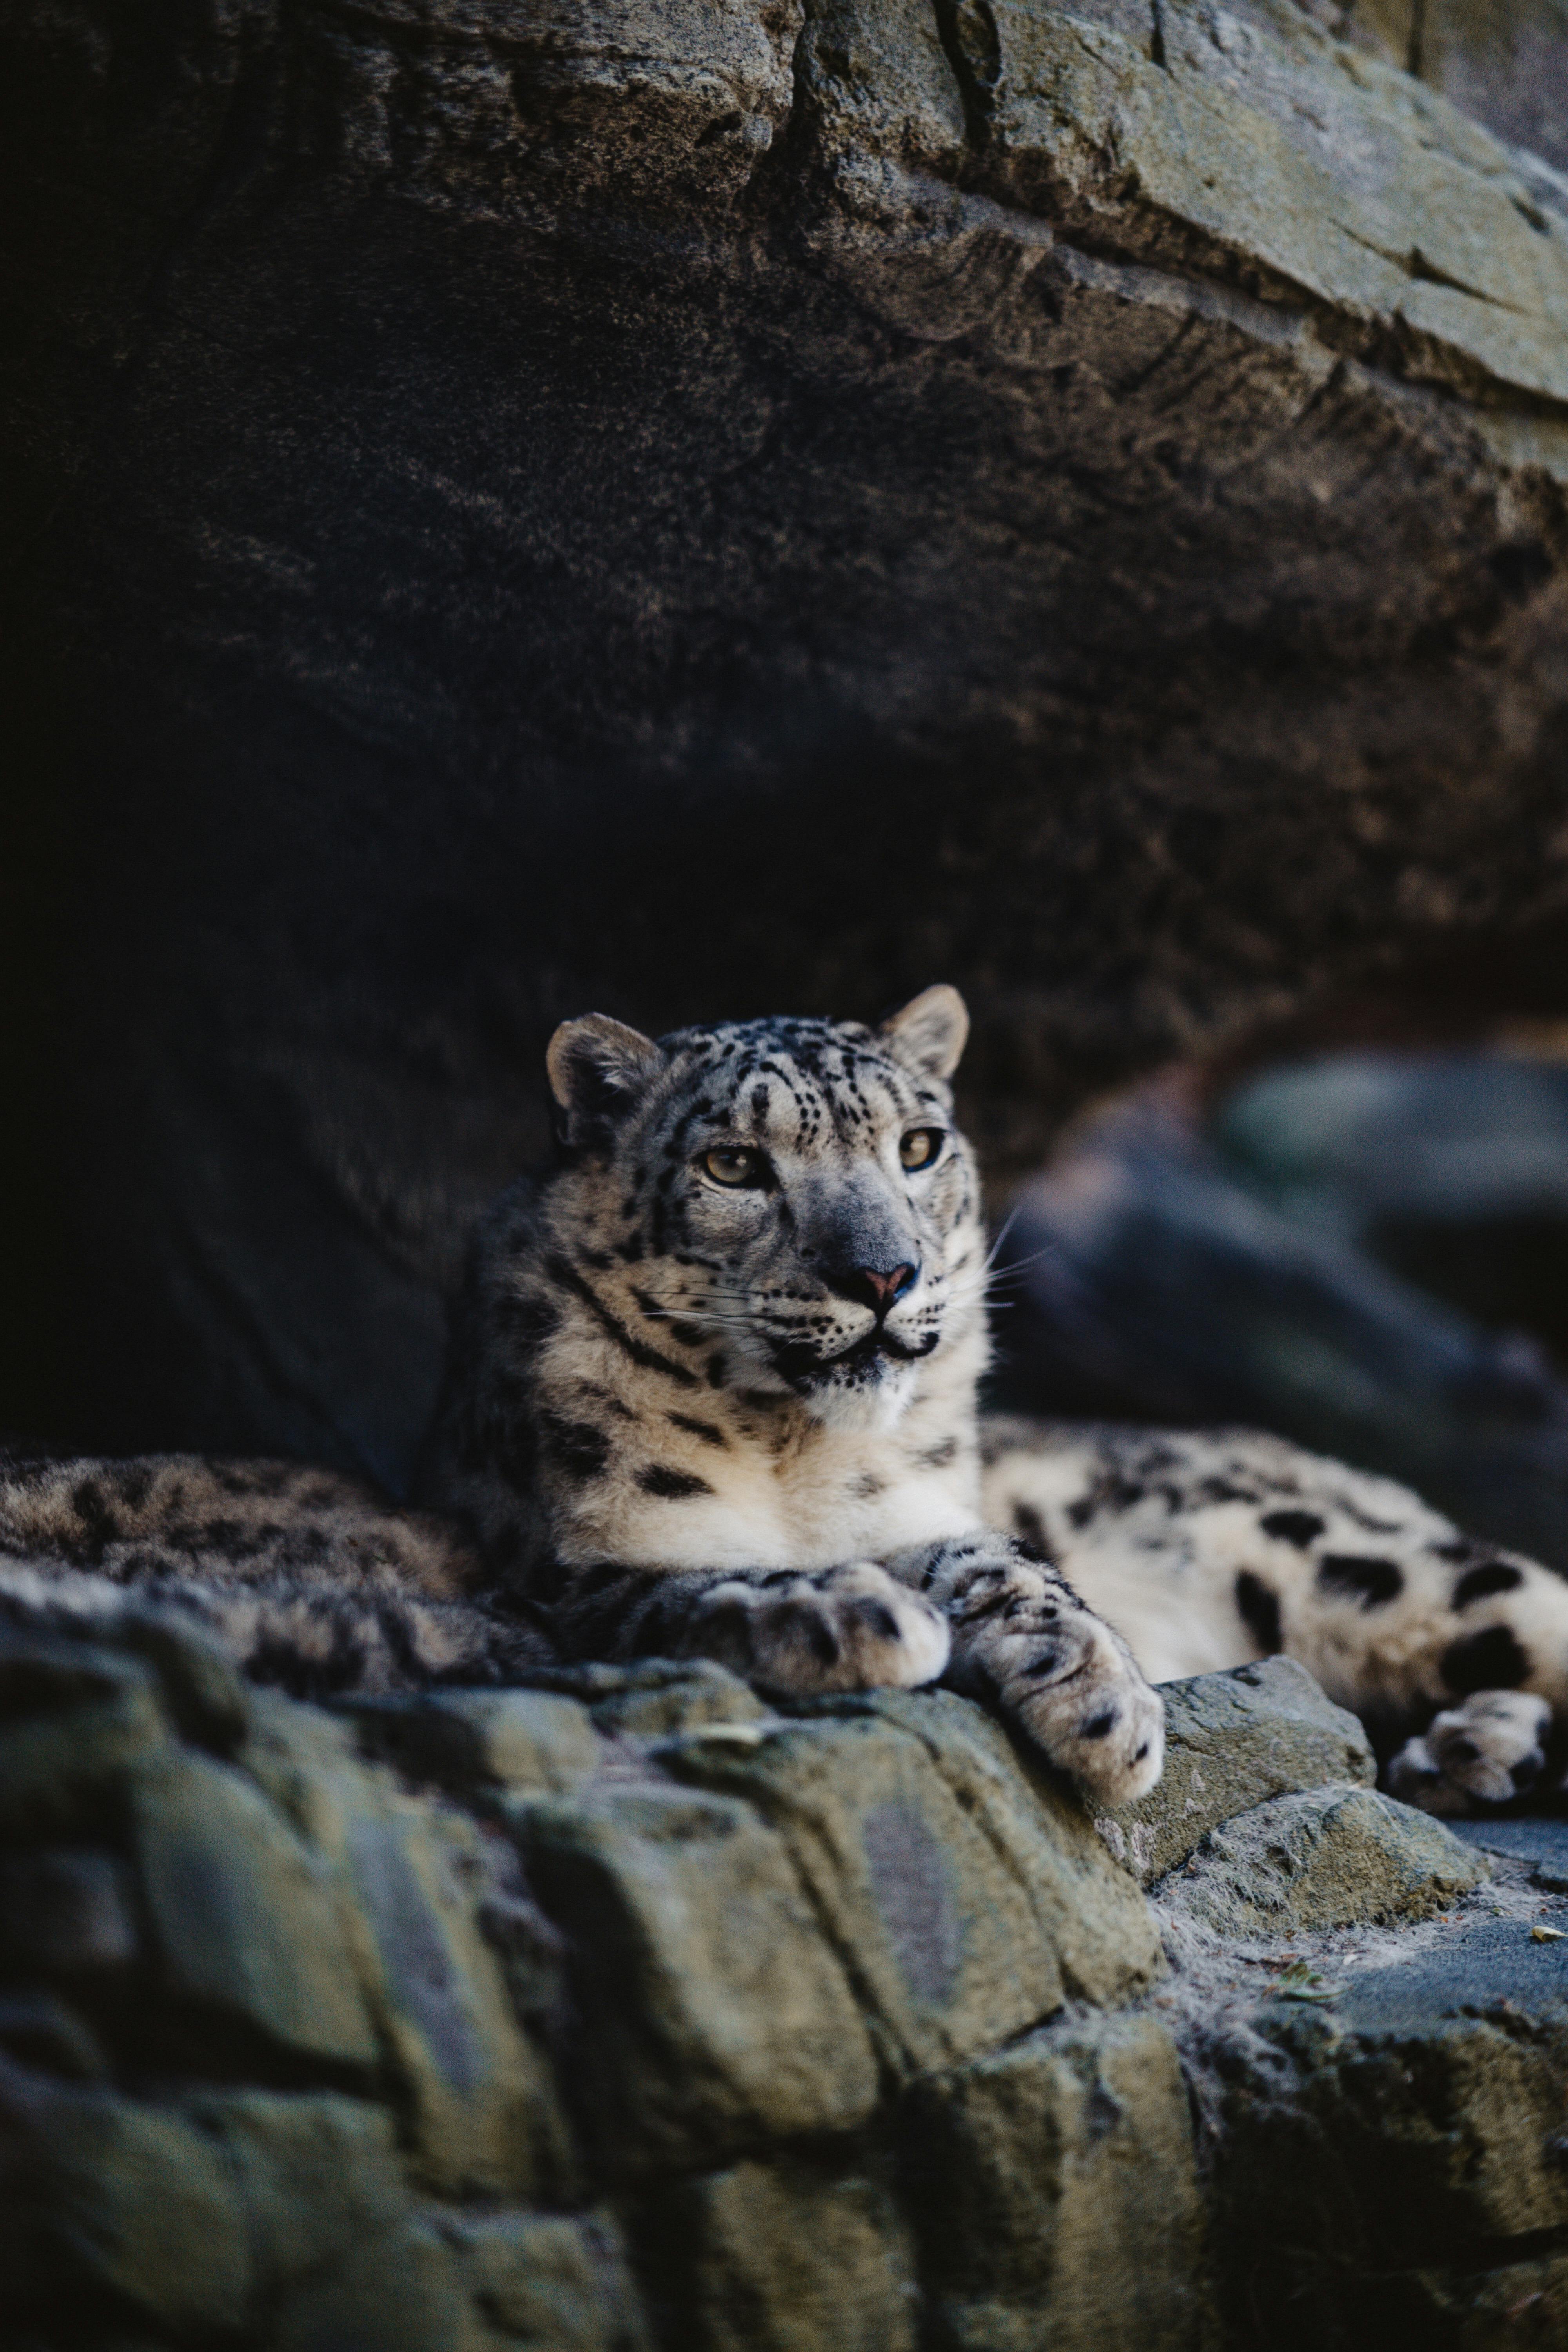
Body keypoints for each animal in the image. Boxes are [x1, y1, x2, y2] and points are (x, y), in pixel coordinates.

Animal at [5, 984, 1568, 1817]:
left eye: (918, 1143)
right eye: (734, 1166)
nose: (879, 1274)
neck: (796, 1457)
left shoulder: (936, 1505)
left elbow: (1006, 1559)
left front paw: (1104, 1708)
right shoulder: (559, 1570)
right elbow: (689, 1584)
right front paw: (855, 1613)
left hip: (1365, 1564)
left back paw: (1475, 1743)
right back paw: (1473, 1749)